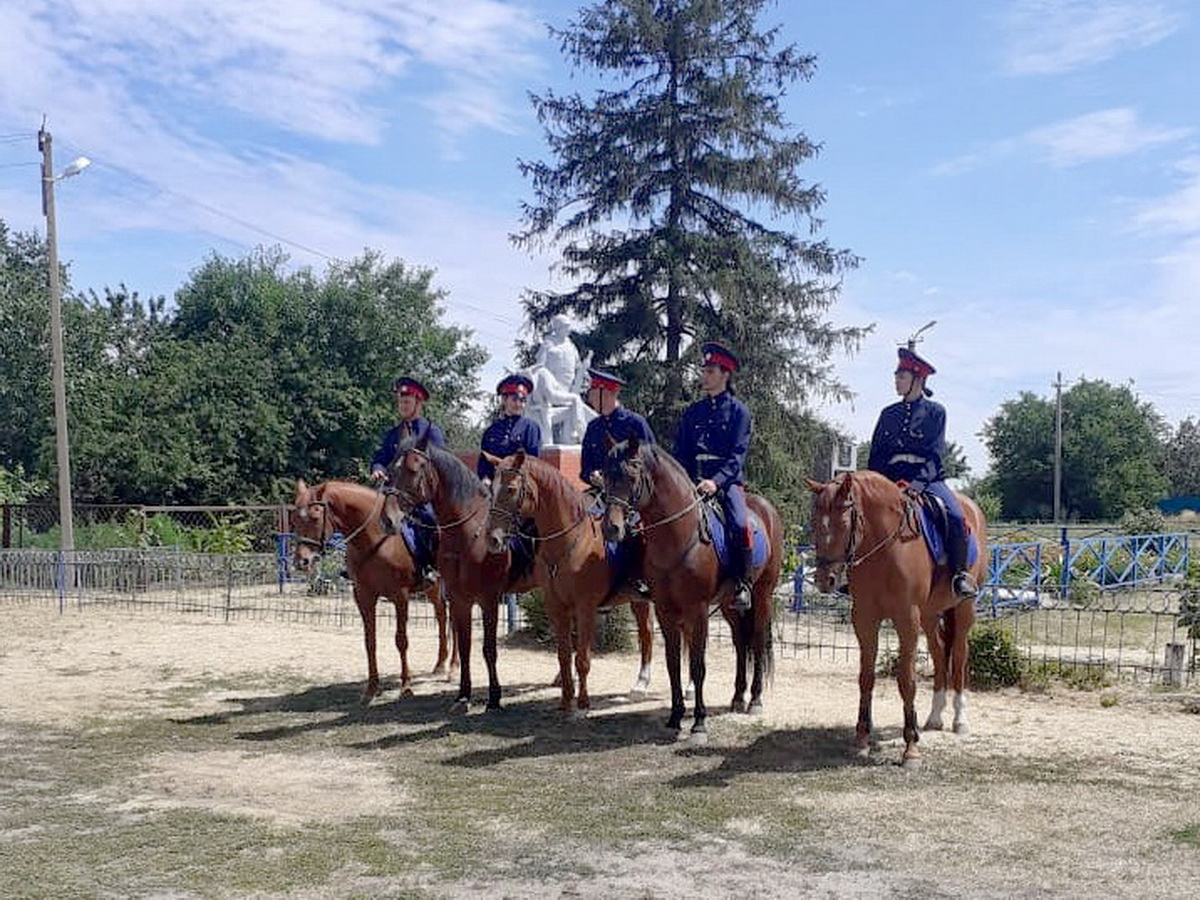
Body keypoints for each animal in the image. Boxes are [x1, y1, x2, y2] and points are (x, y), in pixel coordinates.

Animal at [290, 480, 453, 705]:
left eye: (315, 517)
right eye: (295, 519)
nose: (302, 562)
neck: (376, 539)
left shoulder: (400, 596)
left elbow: (401, 641)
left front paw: (406, 687)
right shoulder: (364, 597)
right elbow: (370, 642)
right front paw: (371, 690)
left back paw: (453, 668)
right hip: (433, 589)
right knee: (442, 616)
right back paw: (440, 665)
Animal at [386, 436, 537, 710]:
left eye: (413, 470)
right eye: (391, 470)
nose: (388, 518)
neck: (467, 534)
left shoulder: (489, 599)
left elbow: (489, 649)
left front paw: (494, 697)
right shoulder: (459, 598)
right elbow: (465, 645)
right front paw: (463, 694)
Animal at [482, 453, 662, 715]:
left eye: (511, 489)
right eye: (490, 489)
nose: (492, 539)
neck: (570, 541)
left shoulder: (585, 606)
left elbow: (583, 658)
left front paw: (583, 703)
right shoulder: (557, 607)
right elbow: (565, 655)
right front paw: (566, 699)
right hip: (638, 598)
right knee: (646, 631)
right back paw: (641, 683)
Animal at [604, 439, 782, 748]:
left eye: (631, 476)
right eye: (605, 474)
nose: (611, 528)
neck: (680, 536)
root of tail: (767, 510)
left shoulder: (697, 611)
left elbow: (697, 666)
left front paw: (699, 724)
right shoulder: (665, 610)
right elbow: (673, 663)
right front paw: (675, 718)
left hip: (762, 596)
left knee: (758, 642)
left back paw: (755, 700)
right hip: (730, 605)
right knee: (740, 643)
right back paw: (738, 697)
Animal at [801, 472, 988, 768]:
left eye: (843, 523)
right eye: (814, 522)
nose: (824, 580)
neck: (885, 548)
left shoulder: (906, 619)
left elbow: (906, 680)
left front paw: (911, 748)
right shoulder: (864, 618)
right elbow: (866, 677)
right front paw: (862, 740)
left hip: (963, 608)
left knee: (958, 656)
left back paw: (960, 720)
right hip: (929, 615)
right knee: (939, 652)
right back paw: (935, 717)